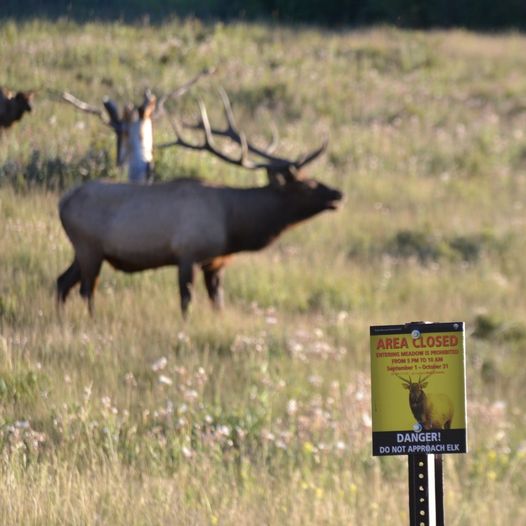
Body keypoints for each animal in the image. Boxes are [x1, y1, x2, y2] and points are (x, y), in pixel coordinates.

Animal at [57, 89, 344, 318]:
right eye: (307, 184)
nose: (338, 194)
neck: (234, 225)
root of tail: (62, 203)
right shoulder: (188, 253)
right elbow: (186, 301)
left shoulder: (215, 263)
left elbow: (218, 302)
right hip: (89, 247)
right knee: (86, 289)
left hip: (84, 250)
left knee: (62, 281)